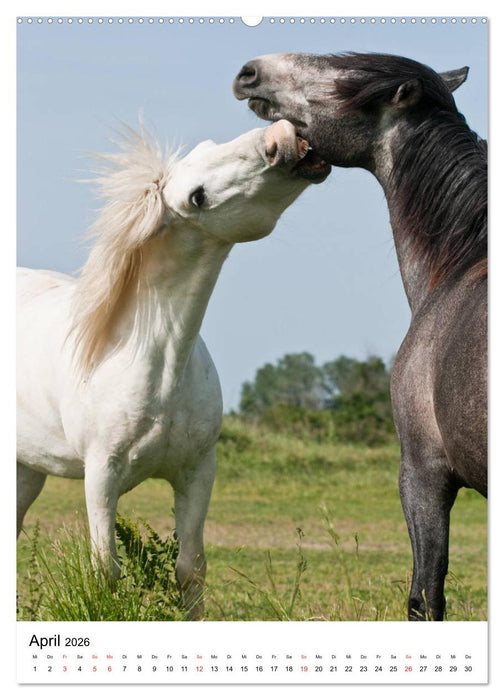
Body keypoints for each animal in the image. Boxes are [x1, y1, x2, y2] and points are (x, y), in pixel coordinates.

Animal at [17, 120, 330, 619]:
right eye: (196, 197)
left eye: (209, 146)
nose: (281, 135)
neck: (156, 363)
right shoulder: (100, 476)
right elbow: (106, 571)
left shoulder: (198, 471)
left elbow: (190, 570)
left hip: (27, 470)